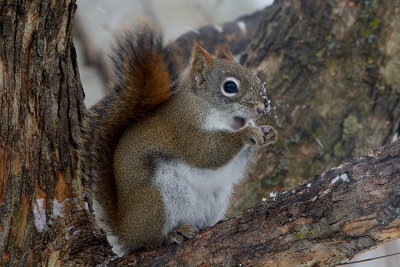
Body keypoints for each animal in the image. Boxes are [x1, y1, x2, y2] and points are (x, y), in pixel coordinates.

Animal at [79, 25, 276, 258]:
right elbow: (207, 152)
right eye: (229, 86)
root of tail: (127, 232)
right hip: (156, 201)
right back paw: (173, 234)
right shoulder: (183, 131)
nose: (263, 107)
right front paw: (247, 134)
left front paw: (268, 132)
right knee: (151, 242)